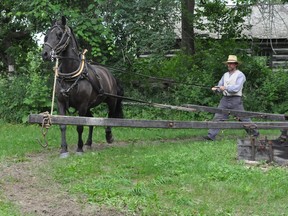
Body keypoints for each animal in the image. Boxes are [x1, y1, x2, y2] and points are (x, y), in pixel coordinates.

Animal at [42, 16, 123, 158]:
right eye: (47, 35)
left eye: (59, 34)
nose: (45, 54)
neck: (70, 74)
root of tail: (110, 75)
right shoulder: (60, 102)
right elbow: (63, 126)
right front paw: (64, 150)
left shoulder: (82, 105)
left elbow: (80, 126)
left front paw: (79, 149)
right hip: (89, 106)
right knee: (91, 120)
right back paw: (89, 142)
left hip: (110, 101)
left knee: (110, 116)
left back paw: (109, 136)